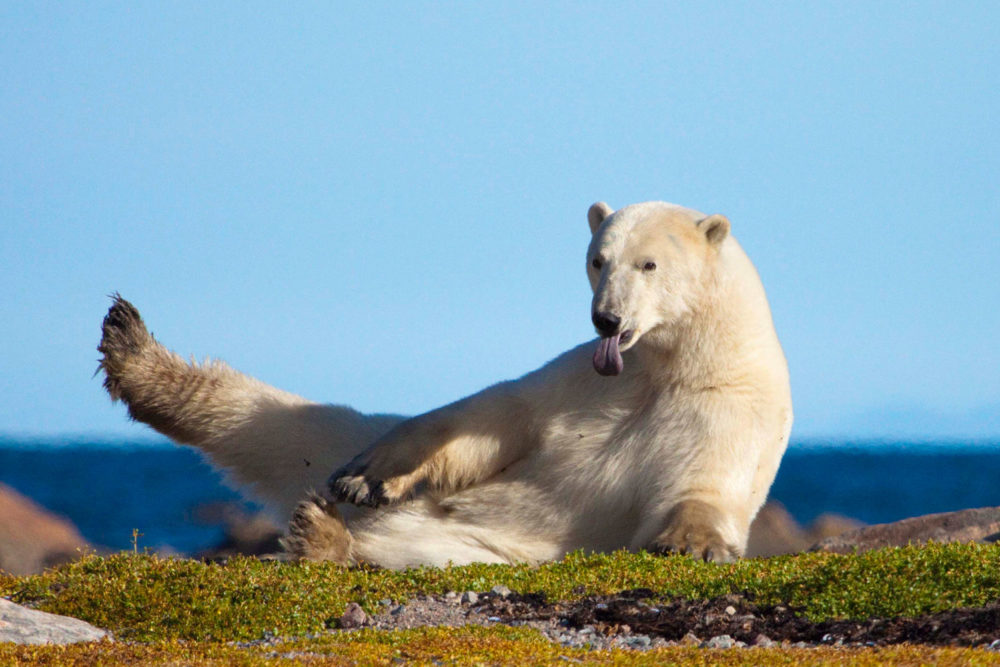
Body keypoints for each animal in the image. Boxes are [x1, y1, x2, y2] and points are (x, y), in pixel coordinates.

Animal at [98, 200, 792, 568]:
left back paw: (323, 538)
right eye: (598, 260)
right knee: (291, 426)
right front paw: (369, 476)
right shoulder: (579, 383)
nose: (607, 319)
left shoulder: (724, 407)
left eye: (649, 264)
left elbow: (702, 486)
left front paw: (689, 542)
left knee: (419, 548)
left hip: (490, 542)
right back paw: (133, 351)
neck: (665, 362)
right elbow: (495, 415)